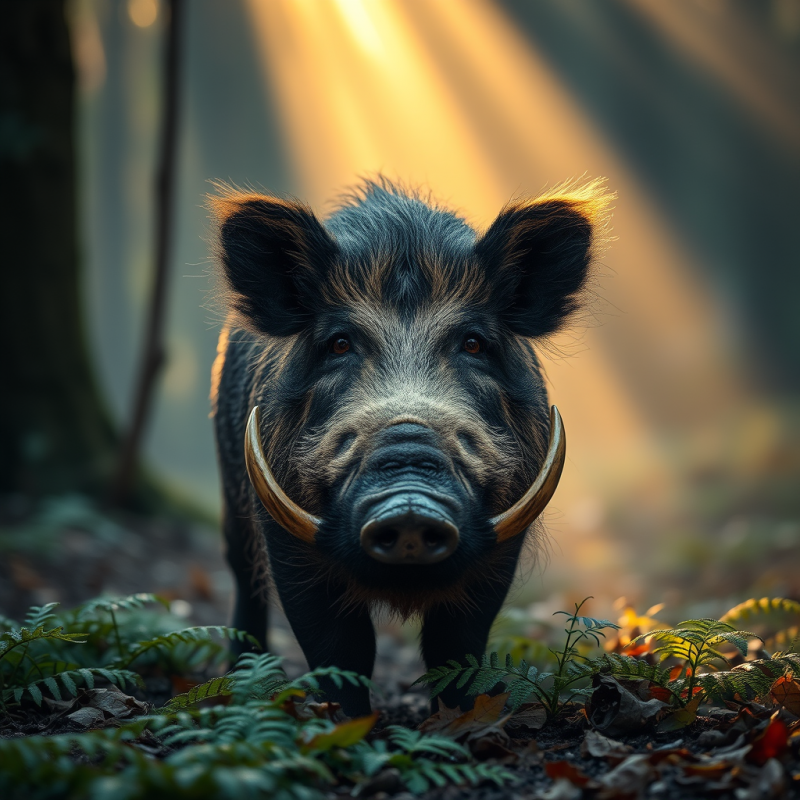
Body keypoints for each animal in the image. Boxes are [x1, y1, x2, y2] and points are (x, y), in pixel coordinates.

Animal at [209, 178, 611, 716]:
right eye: (339, 343)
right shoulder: (284, 533)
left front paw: (462, 719)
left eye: (474, 343)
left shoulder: (503, 539)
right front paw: (348, 722)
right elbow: (341, 647)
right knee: (242, 575)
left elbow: (456, 643)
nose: (409, 505)